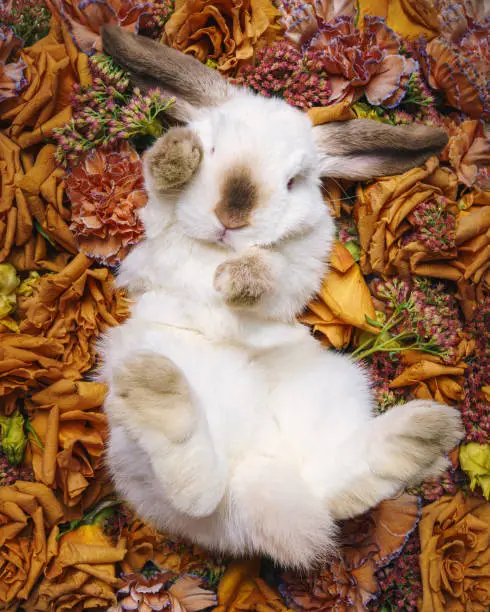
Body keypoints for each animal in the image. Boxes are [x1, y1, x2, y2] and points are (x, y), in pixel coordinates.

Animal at [96, 23, 464, 568]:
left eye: (292, 181)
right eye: (211, 149)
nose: (232, 214)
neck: (216, 248)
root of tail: (256, 476)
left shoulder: (301, 267)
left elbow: (275, 274)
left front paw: (237, 279)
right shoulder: (157, 228)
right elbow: (160, 191)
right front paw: (176, 155)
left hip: (333, 394)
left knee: (321, 493)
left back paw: (418, 438)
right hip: (131, 448)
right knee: (198, 490)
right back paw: (159, 392)